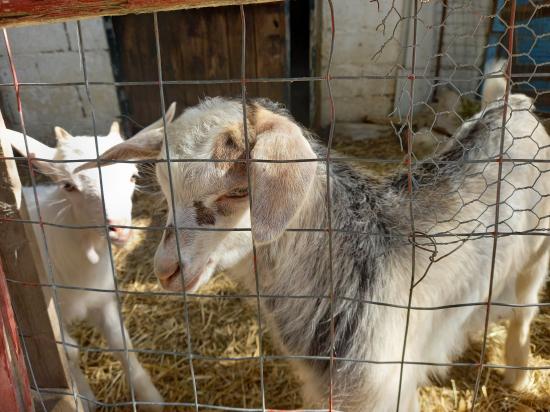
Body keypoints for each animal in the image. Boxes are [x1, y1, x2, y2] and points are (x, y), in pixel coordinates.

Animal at [3, 107, 175, 412]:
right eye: (68, 186)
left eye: (132, 177)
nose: (119, 227)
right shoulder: (48, 313)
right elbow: (68, 354)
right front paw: (83, 396)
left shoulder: (102, 298)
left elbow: (121, 343)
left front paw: (151, 399)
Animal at [81, 79, 550, 410]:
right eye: (163, 187)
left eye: (239, 191)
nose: (166, 269)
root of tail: (515, 107)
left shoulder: (383, 389)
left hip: (536, 252)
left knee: (524, 308)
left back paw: (518, 373)